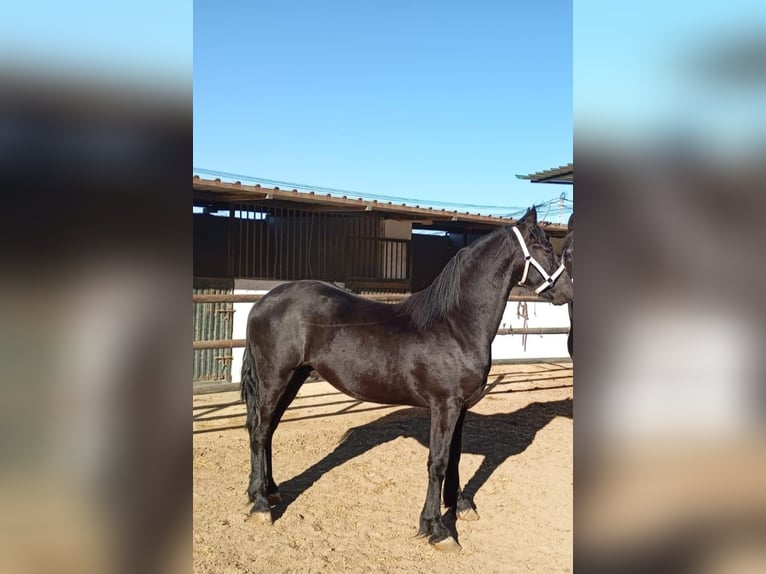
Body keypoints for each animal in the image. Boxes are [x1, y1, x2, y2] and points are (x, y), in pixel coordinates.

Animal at [240, 206, 573, 551]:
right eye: (544, 248)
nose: (568, 291)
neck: (455, 324)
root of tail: (262, 302)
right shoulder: (444, 406)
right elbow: (437, 462)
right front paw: (437, 528)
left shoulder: (460, 408)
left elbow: (454, 457)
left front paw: (460, 505)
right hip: (274, 379)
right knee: (260, 432)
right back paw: (261, 505)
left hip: (293, 379)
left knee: (268, 430)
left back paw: (269, 491)